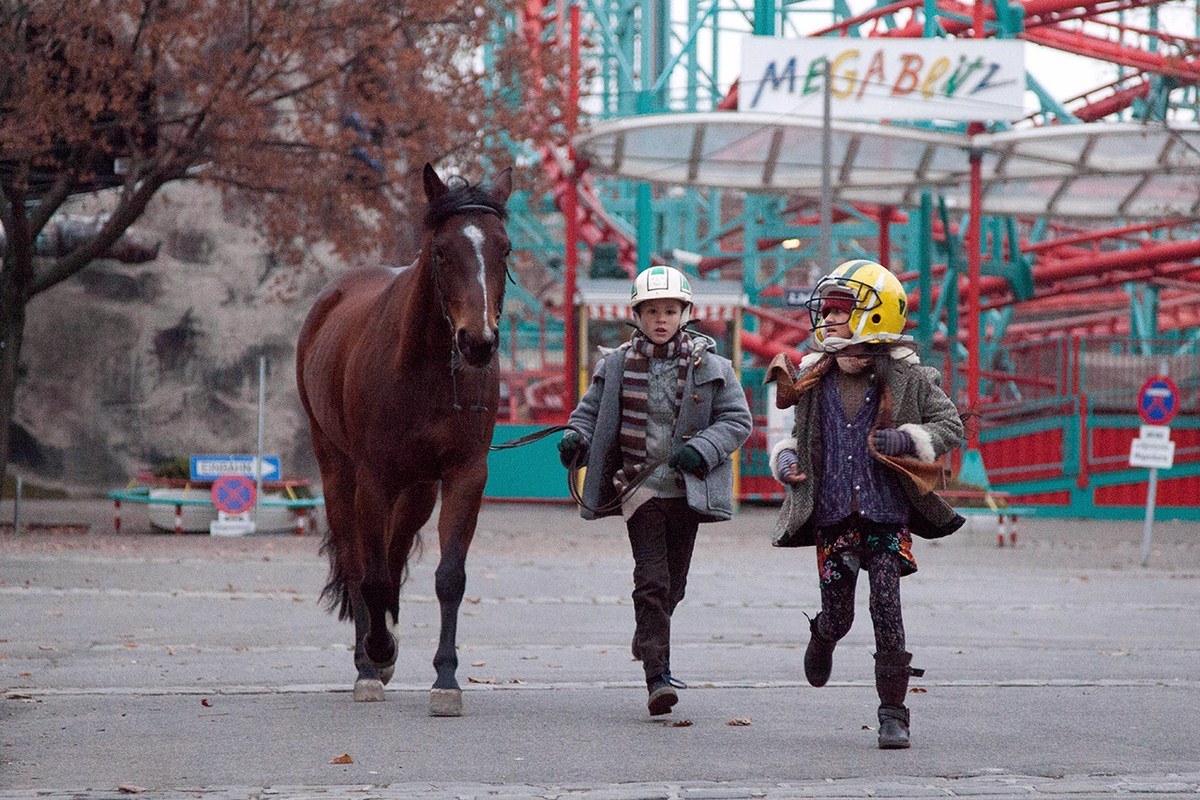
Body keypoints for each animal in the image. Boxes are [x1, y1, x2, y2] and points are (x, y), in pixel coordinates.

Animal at [297, 163, 513, 714]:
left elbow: (449, 576)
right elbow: (368, 574)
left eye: (504, 248)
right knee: (358, 559)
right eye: (441, 251)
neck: (426, 369)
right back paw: (368, 658)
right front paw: (373, 658)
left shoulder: (463, 475)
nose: (478, 343)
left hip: (417, 488)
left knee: (393, 555)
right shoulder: (374, 477)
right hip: (339, 472)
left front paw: (446, 680)